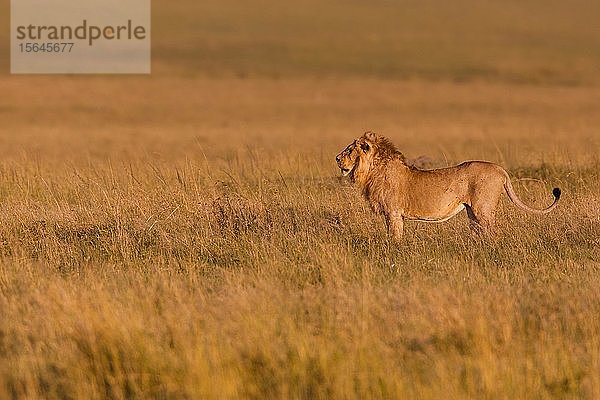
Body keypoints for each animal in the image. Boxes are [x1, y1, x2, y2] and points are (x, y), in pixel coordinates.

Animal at [336, 131, 560, 241]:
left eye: (349, 150)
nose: (337, 158)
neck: (372, 170)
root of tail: (500, 169)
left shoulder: (393, 212)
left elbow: (394, 236)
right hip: (472, 213)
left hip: (484, 209)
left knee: (494, 233)